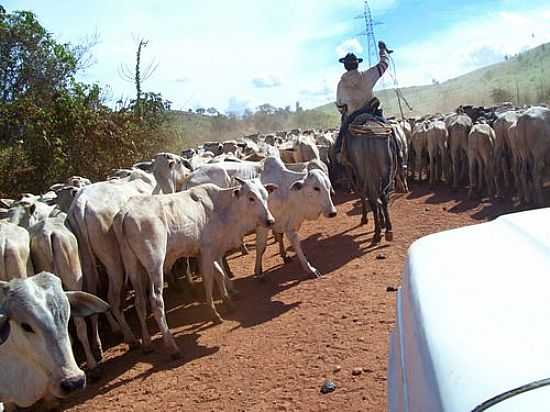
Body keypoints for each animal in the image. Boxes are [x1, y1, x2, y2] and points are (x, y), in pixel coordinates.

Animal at [112, 179, 278, 358]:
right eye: (251, 197)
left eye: (265, 195)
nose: (270, 221)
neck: (220, 207)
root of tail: (126, 212)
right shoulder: (207, 251)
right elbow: (208, 281)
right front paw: (214, 313)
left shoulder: (209, 252)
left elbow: (220, 275)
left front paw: (228, 302)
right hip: (155, 264)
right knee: (156, 301)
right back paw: (172, 346)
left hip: (133, 266)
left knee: (139, 302)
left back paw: (147, 343)